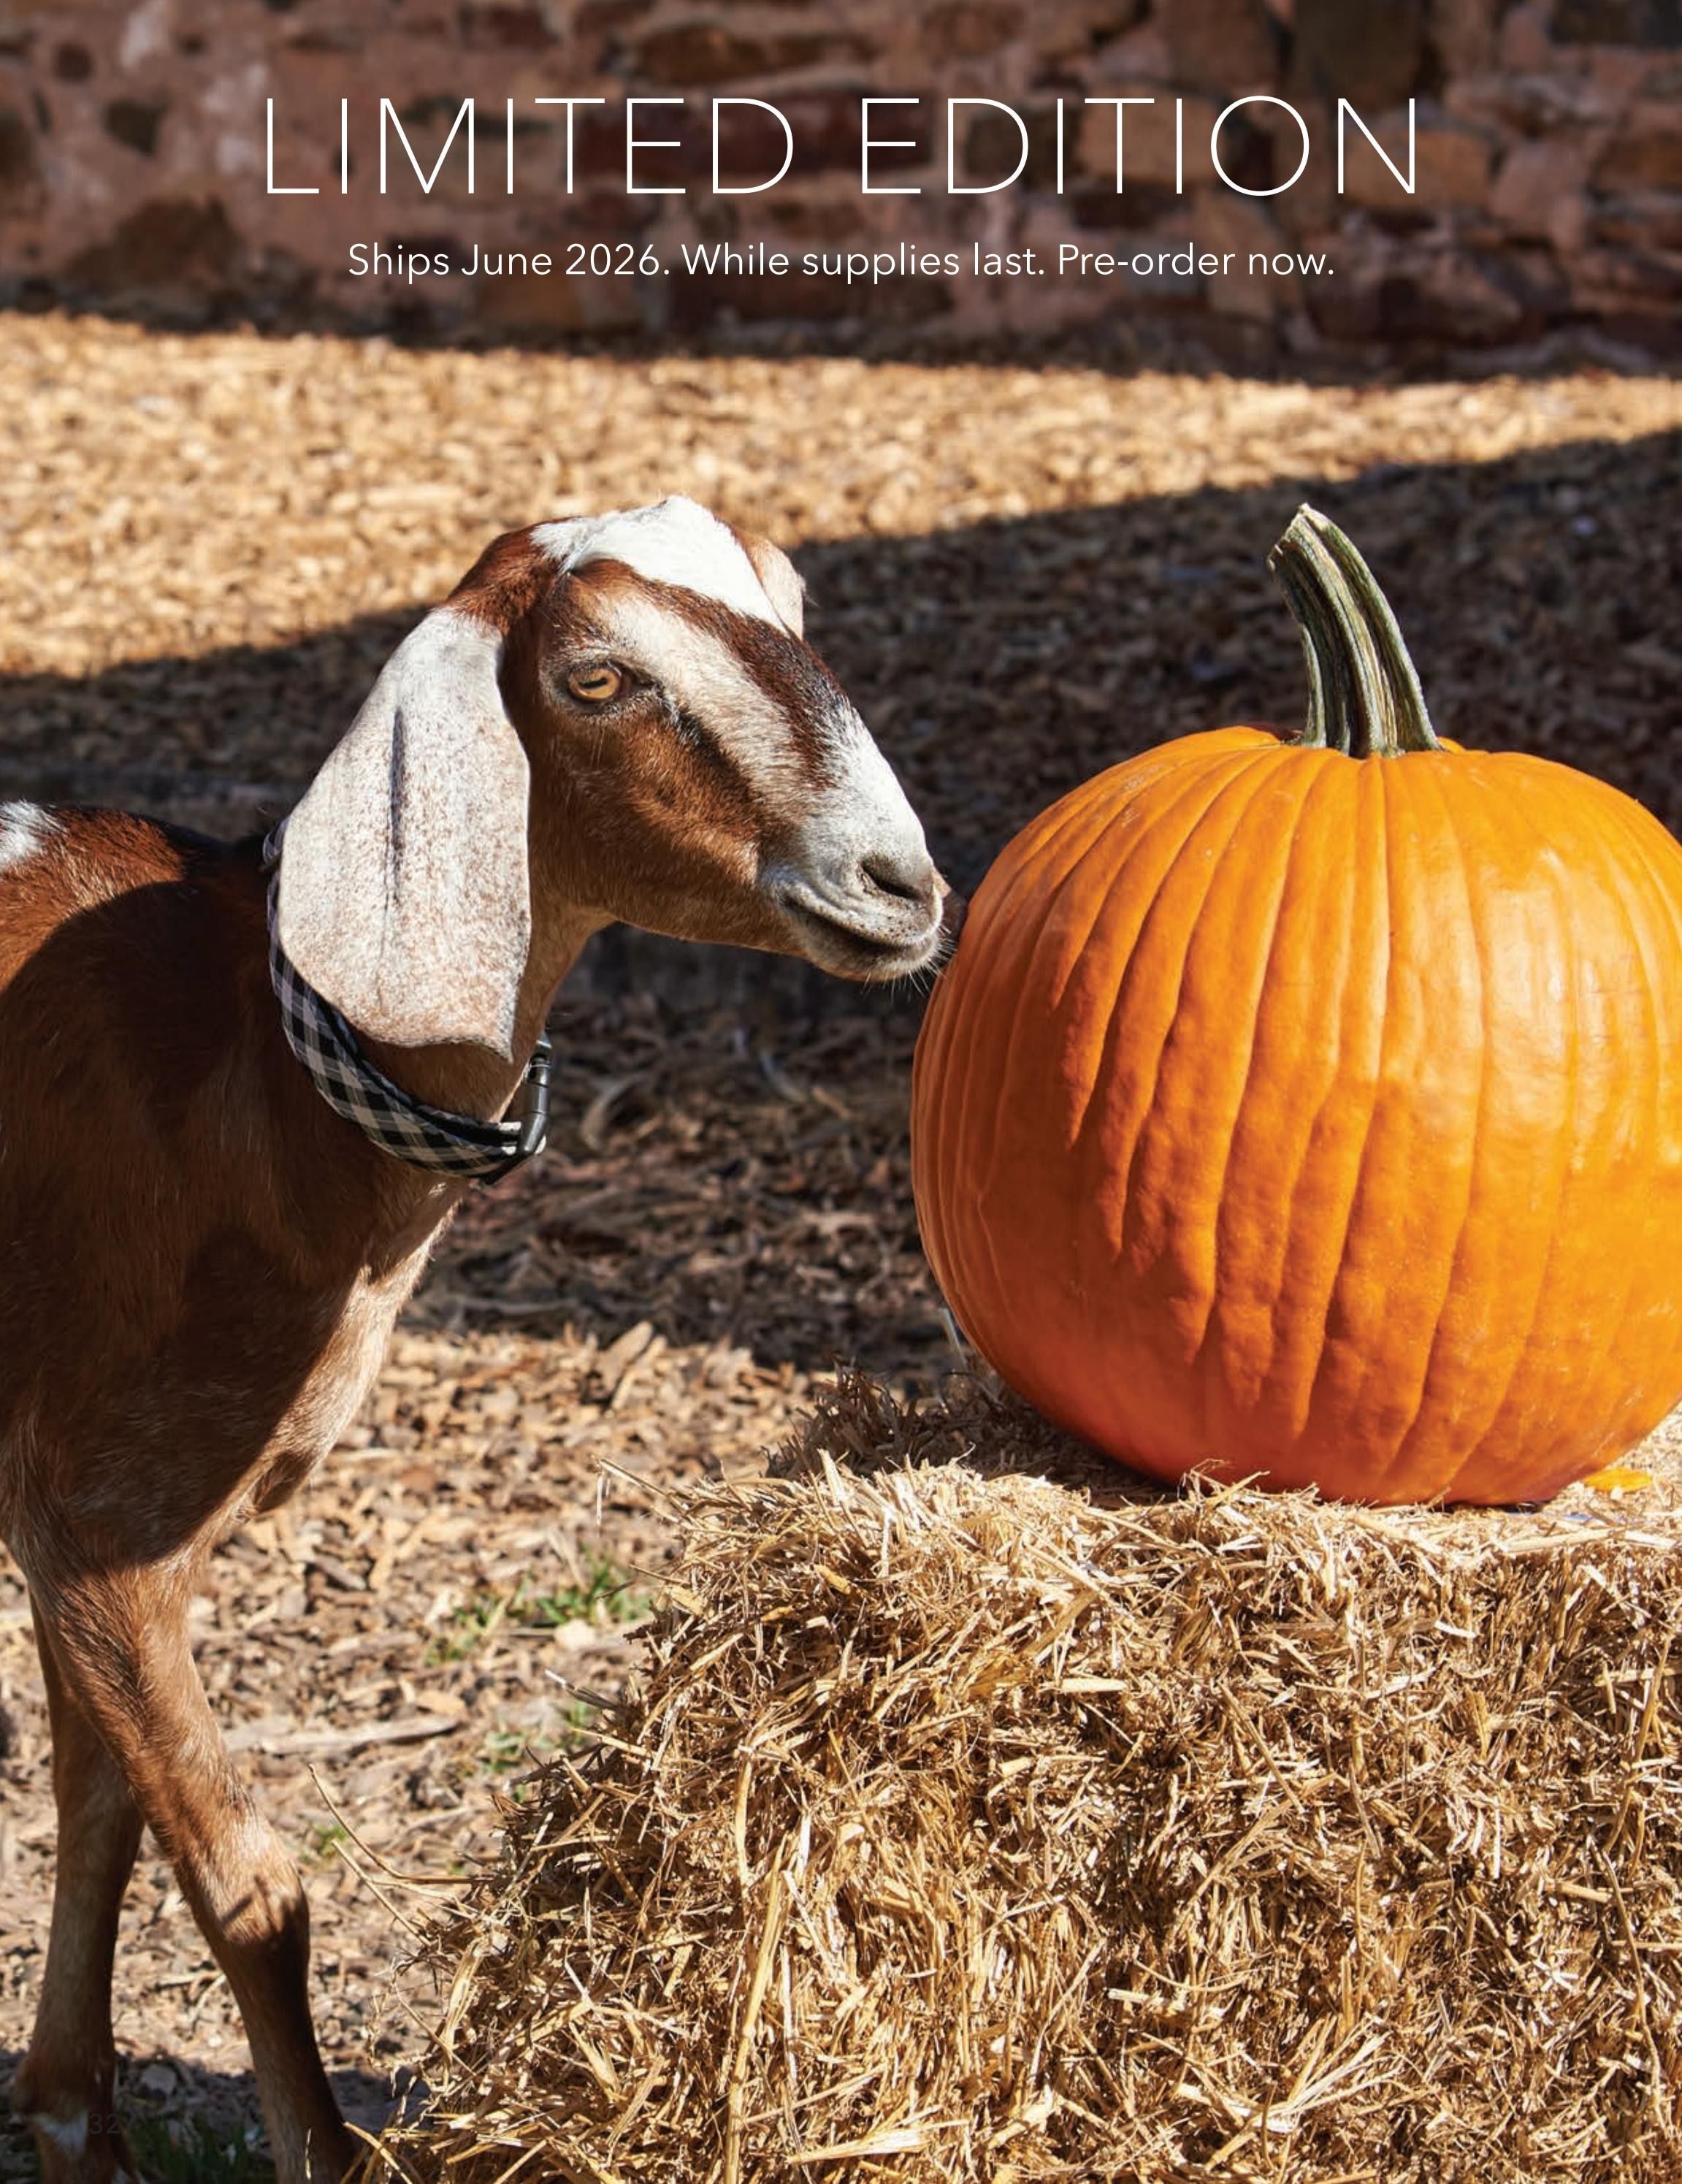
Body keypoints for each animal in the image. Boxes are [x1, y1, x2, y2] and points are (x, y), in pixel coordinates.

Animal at [0, 497, 955, 2183]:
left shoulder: (87, 1522)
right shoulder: (103, 1514)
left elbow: (102, 1815)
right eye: (596, 678)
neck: (262, 1058)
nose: (895, 882)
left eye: (791, 603)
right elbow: (250, 1878)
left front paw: (66, 2118)